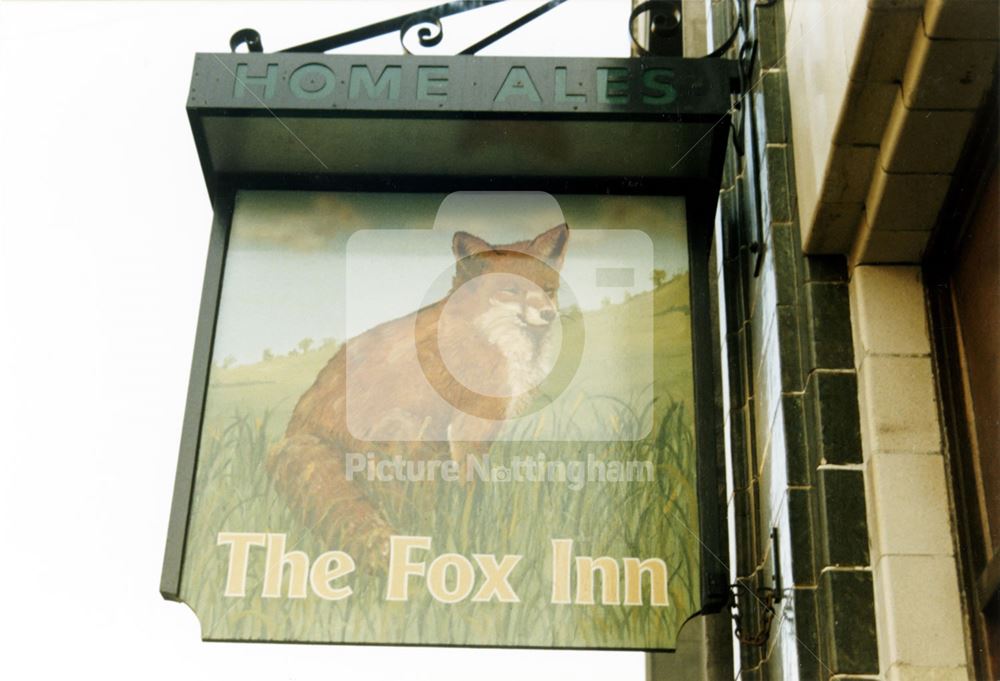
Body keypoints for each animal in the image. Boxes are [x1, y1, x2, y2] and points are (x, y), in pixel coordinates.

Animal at [268, 224, 572, 556]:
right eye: (511, 290)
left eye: (548, 290)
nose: (548, 314)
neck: (490, 336)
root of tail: (295, 432)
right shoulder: (469, 427)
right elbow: (471, 494)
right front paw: (470, 536)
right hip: (409, 434)